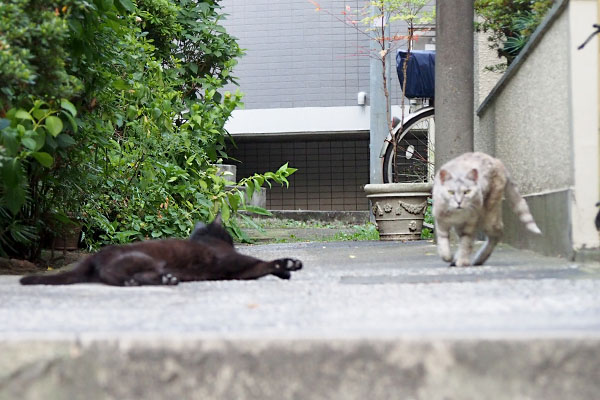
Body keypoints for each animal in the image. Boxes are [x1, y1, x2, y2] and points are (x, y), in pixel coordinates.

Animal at [20, 216, 302, 288]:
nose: (233, 240)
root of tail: (92, 258)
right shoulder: (233, 261)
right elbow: (261, 262)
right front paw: (289, 264)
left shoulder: (234, 271)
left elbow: (257, 268)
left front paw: (284, 271)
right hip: (144, 258)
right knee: (113, 274)